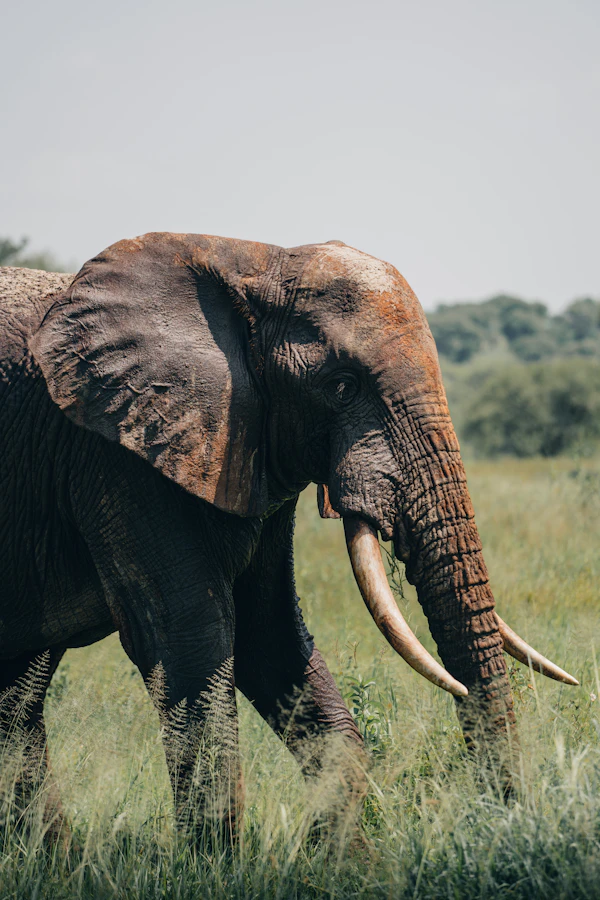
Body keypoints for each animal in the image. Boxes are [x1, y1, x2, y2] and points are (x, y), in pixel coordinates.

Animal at [0, 234, 577, 839]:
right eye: (342, 387)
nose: (498, 816)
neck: (252, 259)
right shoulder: (120, 457)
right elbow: (189, 641)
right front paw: (218, 864)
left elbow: (271, 633)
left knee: (19, 695)